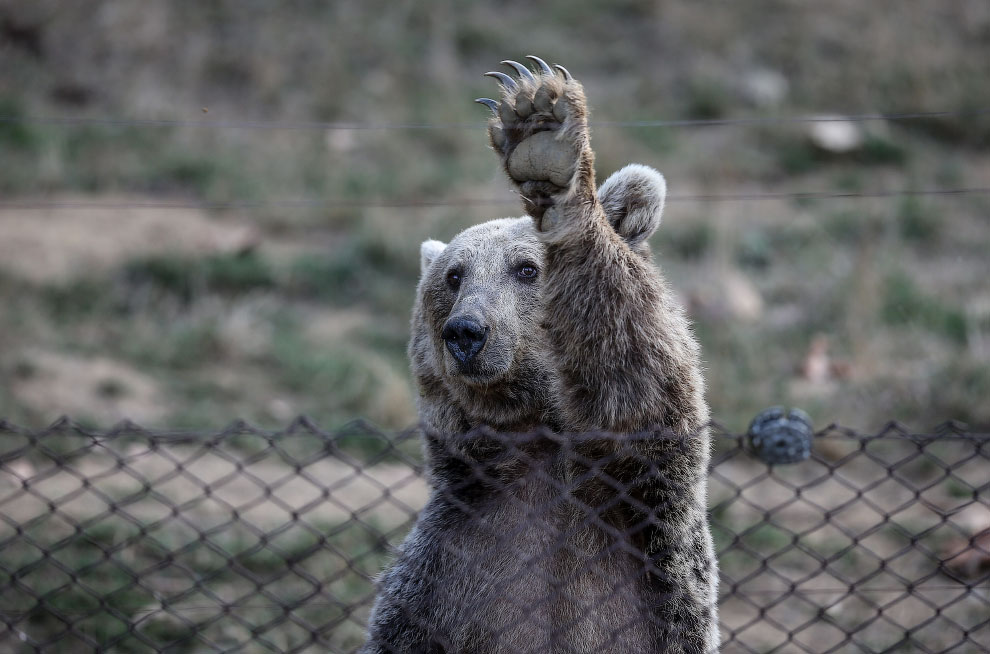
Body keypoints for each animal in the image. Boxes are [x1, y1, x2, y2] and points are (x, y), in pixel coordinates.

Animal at [364, 57, 720, 654]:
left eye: (525, 268)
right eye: (454, 276)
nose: (466, 332)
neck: (539, 442)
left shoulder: (642, 528)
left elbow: (638, 369)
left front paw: (546, 146)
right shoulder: (437, 586)